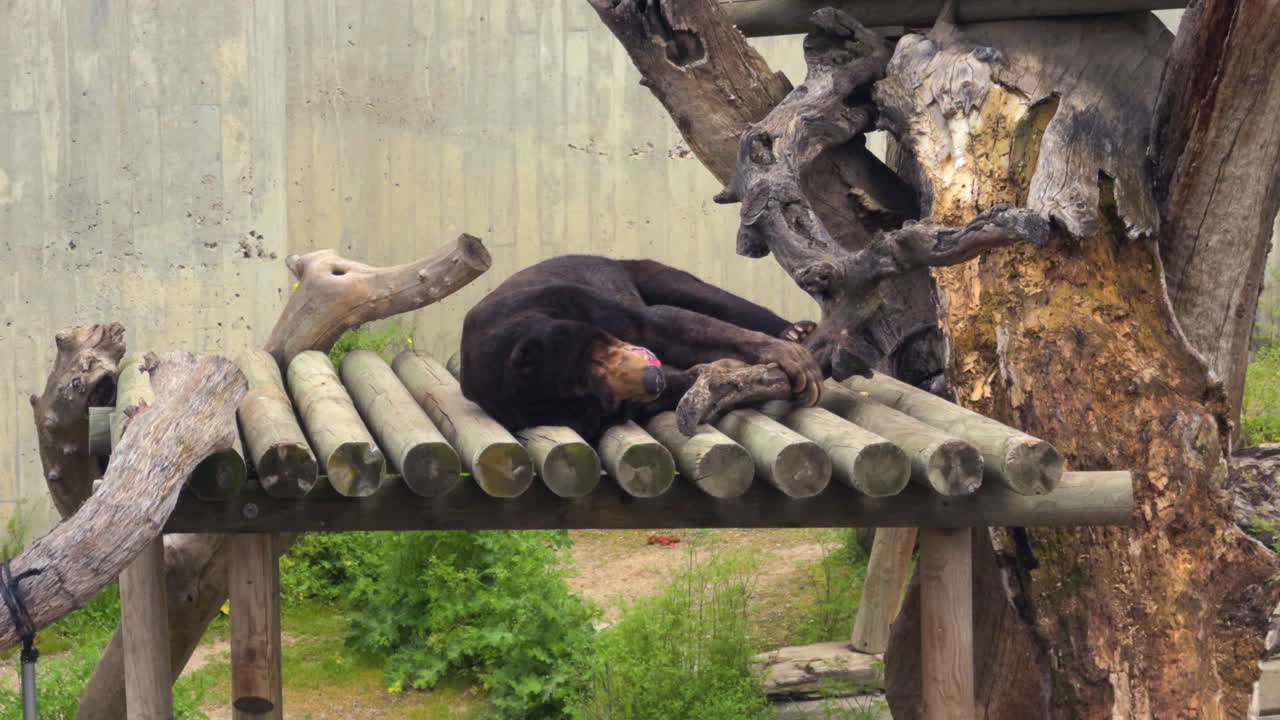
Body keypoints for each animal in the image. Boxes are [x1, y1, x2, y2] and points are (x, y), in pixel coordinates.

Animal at [459, 255, 823, 440]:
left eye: (597, 355)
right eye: (604, 399)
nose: (651, 380)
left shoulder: (568, 298)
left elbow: (662, 323)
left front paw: (790, 358)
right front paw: (724, 378)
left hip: (641, 269)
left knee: (710, 298)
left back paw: (795, 332)